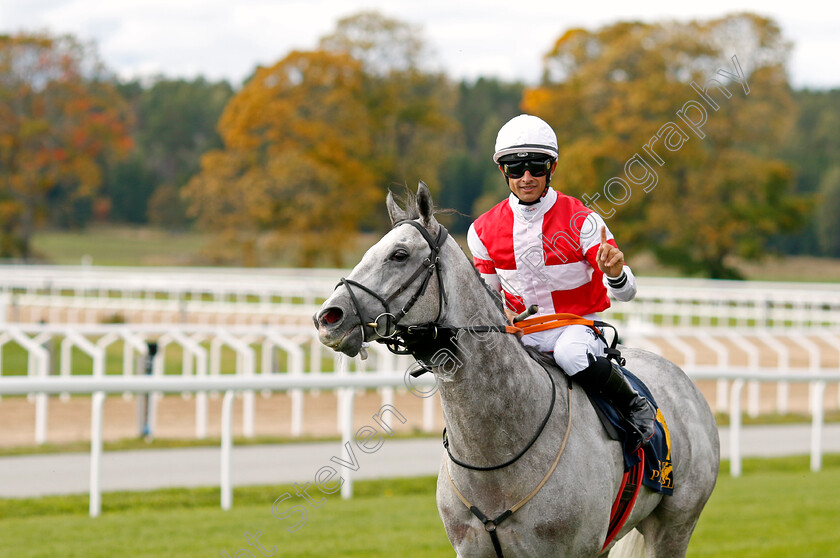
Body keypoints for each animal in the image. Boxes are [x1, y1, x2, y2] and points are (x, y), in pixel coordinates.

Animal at [312, 183, 720, 556]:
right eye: (369, 251)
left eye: (399, 254)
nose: (328, 317)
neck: (495, 456)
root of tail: (683, 380)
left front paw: (611, 263)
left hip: (674, 527)